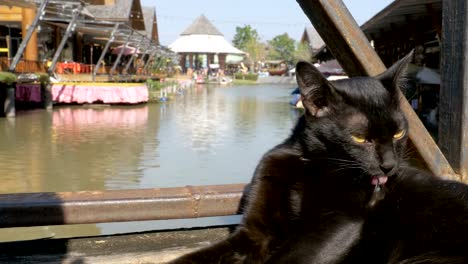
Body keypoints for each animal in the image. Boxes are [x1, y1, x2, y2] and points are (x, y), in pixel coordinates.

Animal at [170, 52, 468, 264]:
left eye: (398, 133)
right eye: (360, 138)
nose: (389, 165)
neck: (309, 161)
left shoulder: (339, 225)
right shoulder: (254, 233)